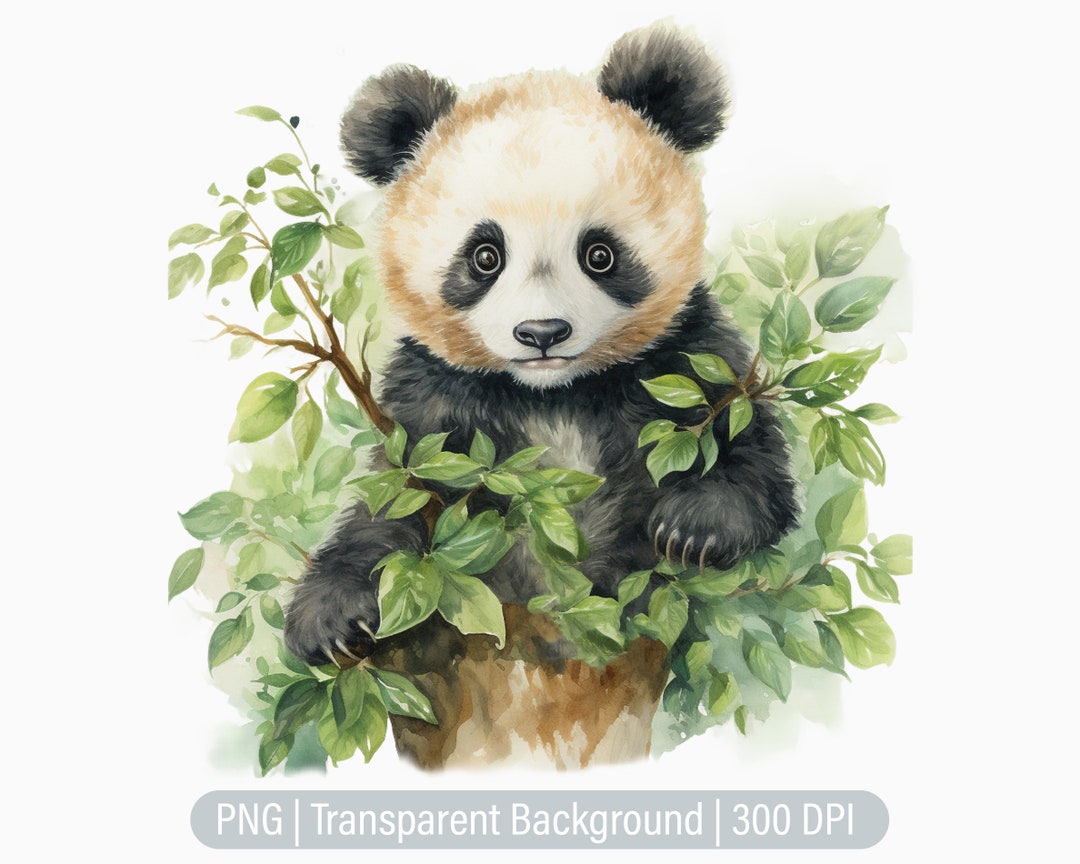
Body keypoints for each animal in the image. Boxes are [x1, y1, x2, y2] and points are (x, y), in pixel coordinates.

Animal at [284, 23, 800, 667]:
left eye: (600, 254)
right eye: (484, 256)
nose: (542, 333)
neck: (554, 396)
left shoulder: (681, 357)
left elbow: (745, 446)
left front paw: (693, 528)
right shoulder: (437, 401)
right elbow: (396, 497)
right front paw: (331, 616)